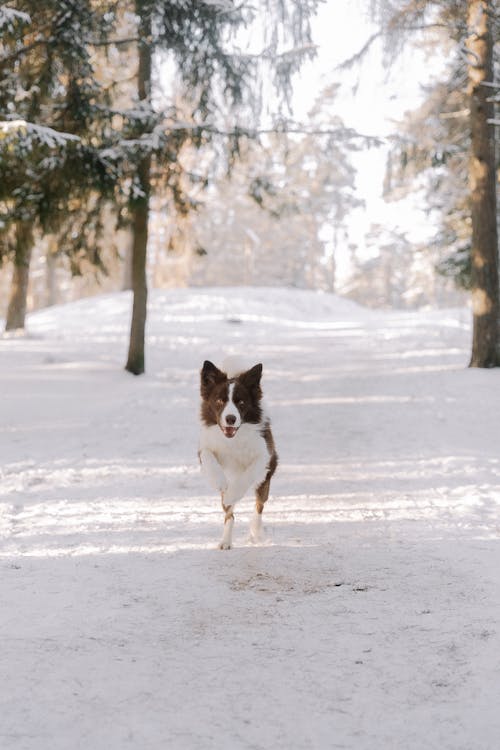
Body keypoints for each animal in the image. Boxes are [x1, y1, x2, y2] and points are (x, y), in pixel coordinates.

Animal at [198, 356, 278, 548]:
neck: (234, 438)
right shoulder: (205, 446)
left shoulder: (265, 454)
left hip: (267, 475)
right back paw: (225, 541)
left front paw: (233, 494)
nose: (230, 419)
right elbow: (207, 456)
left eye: (241, 402)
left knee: (259, 505)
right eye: (219, 401)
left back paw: (256, 532)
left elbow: (248, 475)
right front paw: (219, 481)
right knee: (229, 514)